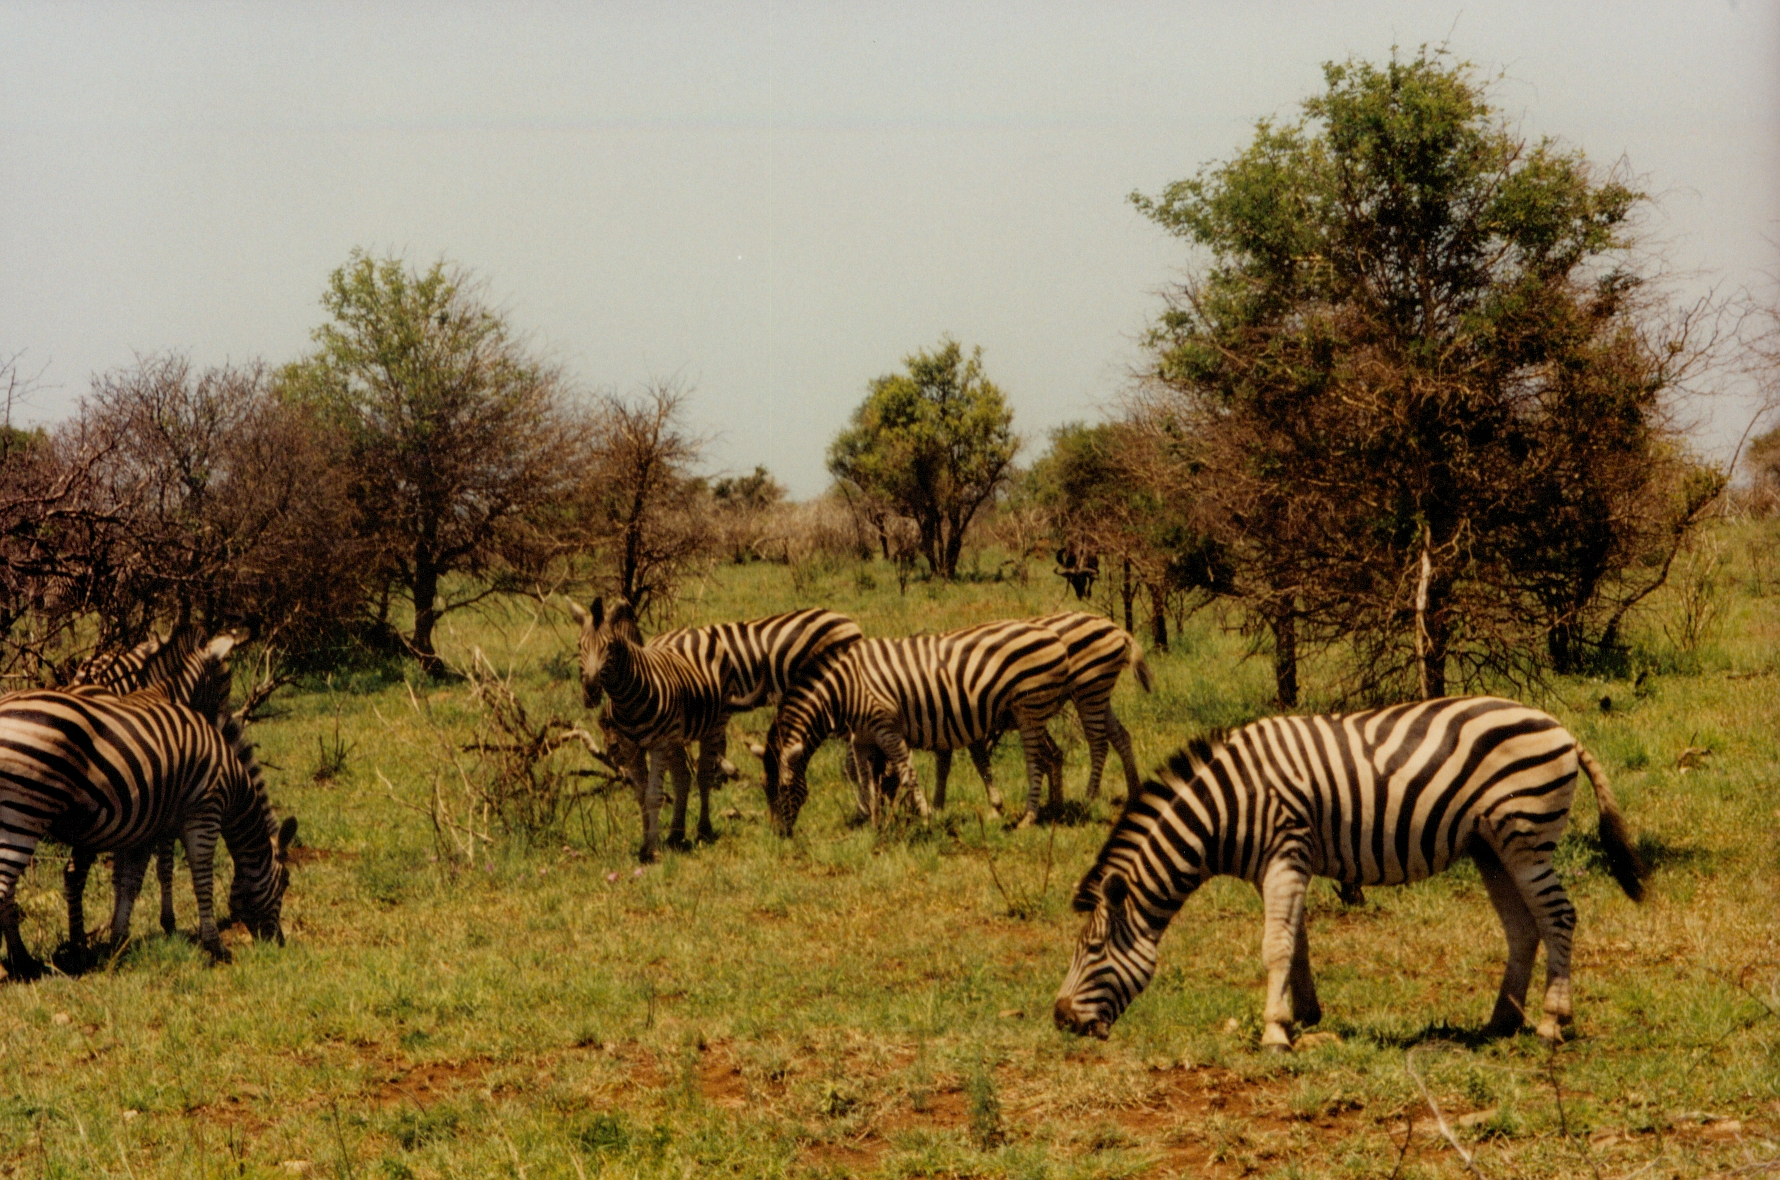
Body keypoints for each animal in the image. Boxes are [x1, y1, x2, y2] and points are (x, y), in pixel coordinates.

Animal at [0, 678, 298, 978]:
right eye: (285, 882)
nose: (279, 943)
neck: (233, 780)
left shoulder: (146, 830)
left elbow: (130, 884)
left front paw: (119, 943)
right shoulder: (204, 812)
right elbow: (202, 880)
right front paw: (215, 946)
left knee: (13, 891)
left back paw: (24, 961)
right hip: (23, 814)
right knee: (6, 888)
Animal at [762, 619, 1074, 834]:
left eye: (785, 787)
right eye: (766, 788)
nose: (779, 834)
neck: (846, 689)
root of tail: (1052, 636)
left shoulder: (887, 729)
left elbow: (907, 774)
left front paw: (925, 817)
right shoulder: (862, 738)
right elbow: (864, 779)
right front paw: (870, 820)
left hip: (1029, 709)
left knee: (1036, 761)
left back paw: (1028, 818)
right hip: (1026, 712)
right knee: (1049, 756)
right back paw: (1052, 810)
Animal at [933, 612, 1153, 811]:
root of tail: (1114, 627)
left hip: (1090, 689)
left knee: (1099, 743)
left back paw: (1089, 796)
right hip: (1098, 693)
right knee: (1120, 735)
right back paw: (1134, 790)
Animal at [1053, 696, 1646, 1050]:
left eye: (1093, 950)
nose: (1060, 1019)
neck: (1228, 808)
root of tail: (1562, 729)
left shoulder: (1285, 852)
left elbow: (1275, 945)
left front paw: (1274, 1032)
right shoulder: (1283, 863)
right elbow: (1295, 943)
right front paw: (1303, 1014)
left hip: (1525, 839)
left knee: (1559, 917)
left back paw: (1550, 1022)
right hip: (1490, 848)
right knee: (1524, 928)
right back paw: (1500, 1022)